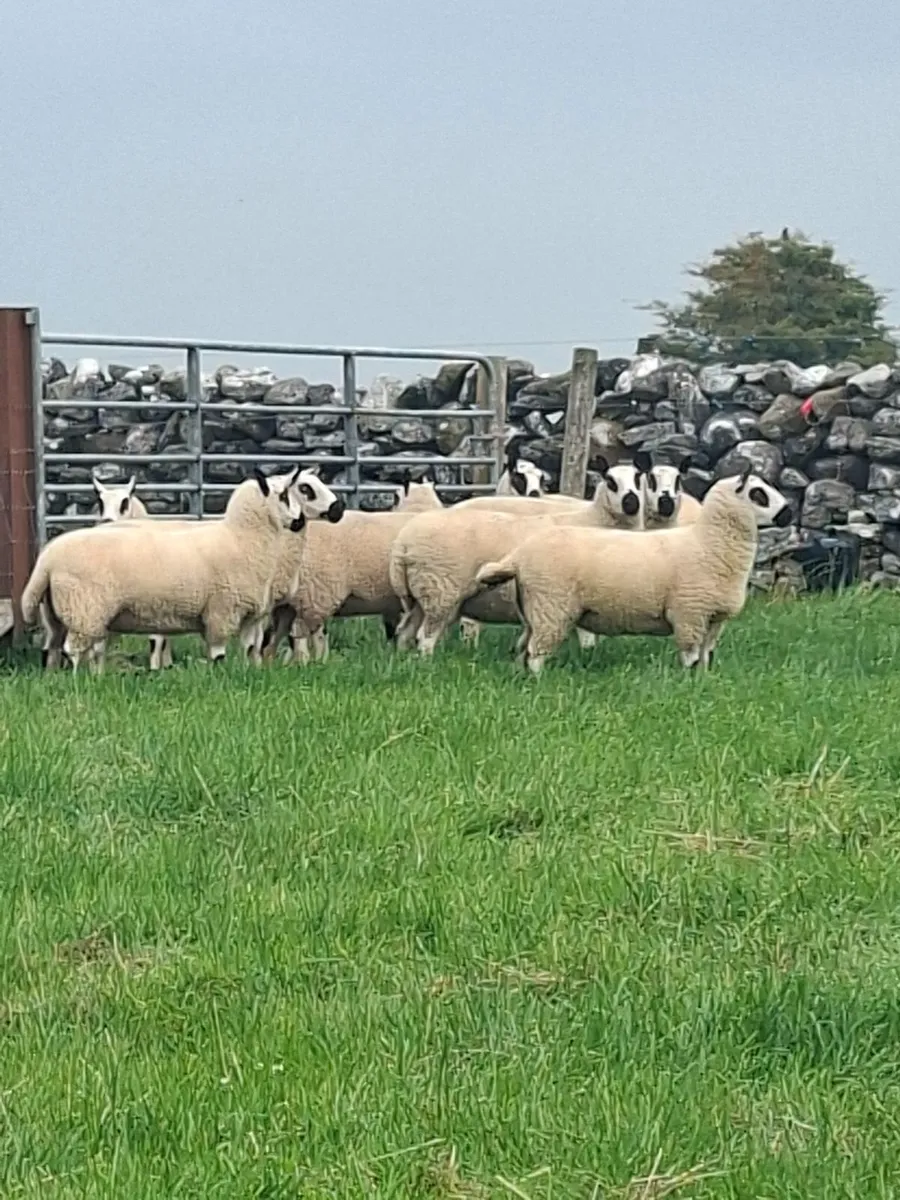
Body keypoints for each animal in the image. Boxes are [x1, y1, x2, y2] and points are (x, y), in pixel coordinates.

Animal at [22, 467, 342, 673]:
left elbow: (252, 649)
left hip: (60, 614)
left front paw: (252, 674)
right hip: (84, 609)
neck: (242, 537)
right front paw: (221, 679)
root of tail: (47, 559)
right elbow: (218, 654)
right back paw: (79, 683)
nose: (298, 522)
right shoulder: (221, 610)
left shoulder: (251, 614)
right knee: (74, 650)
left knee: (53, 649)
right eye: (290, 494)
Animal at [473, 467, 792, 675]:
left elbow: (706, 655)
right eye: (759, 494)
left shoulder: (714, 618)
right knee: (536, 653)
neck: (708, 543)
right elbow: (690, 656)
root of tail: (518, 556)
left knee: (523, 649)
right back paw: (540, 681)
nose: (788, 513)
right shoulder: (690, 614)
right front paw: (688, 684)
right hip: (552, 607)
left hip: (535, 610)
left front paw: (704, 680)